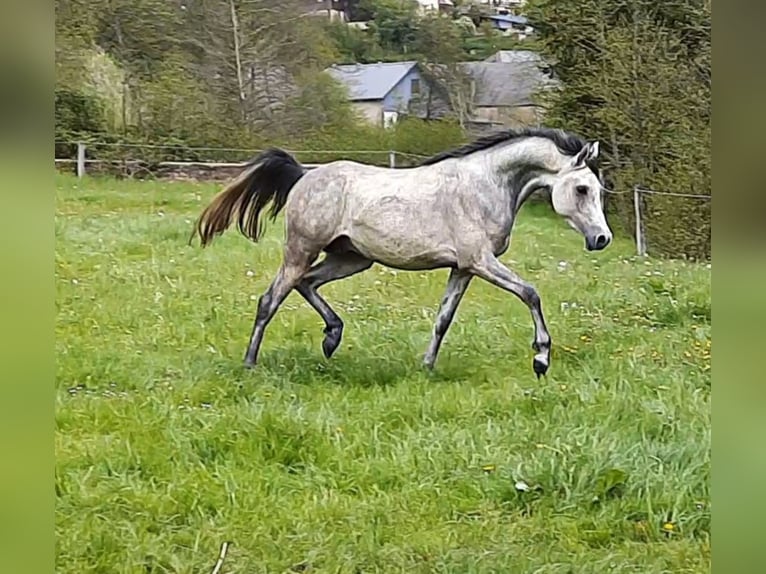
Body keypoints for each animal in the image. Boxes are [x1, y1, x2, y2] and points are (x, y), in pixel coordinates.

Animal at [190, 127, 612, 378]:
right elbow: (531, 293)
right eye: (581, 189)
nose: (602, 239)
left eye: (597, 189)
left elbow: (443, 319)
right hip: (301, 249)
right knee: (270, 299)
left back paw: (332, 337)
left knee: (306, 284)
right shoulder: (481, 261)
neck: (484, 185)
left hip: (352, 258)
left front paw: (426, 366)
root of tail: (304, 175)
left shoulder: (463, 267)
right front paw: (541, 359)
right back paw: (250, 364)